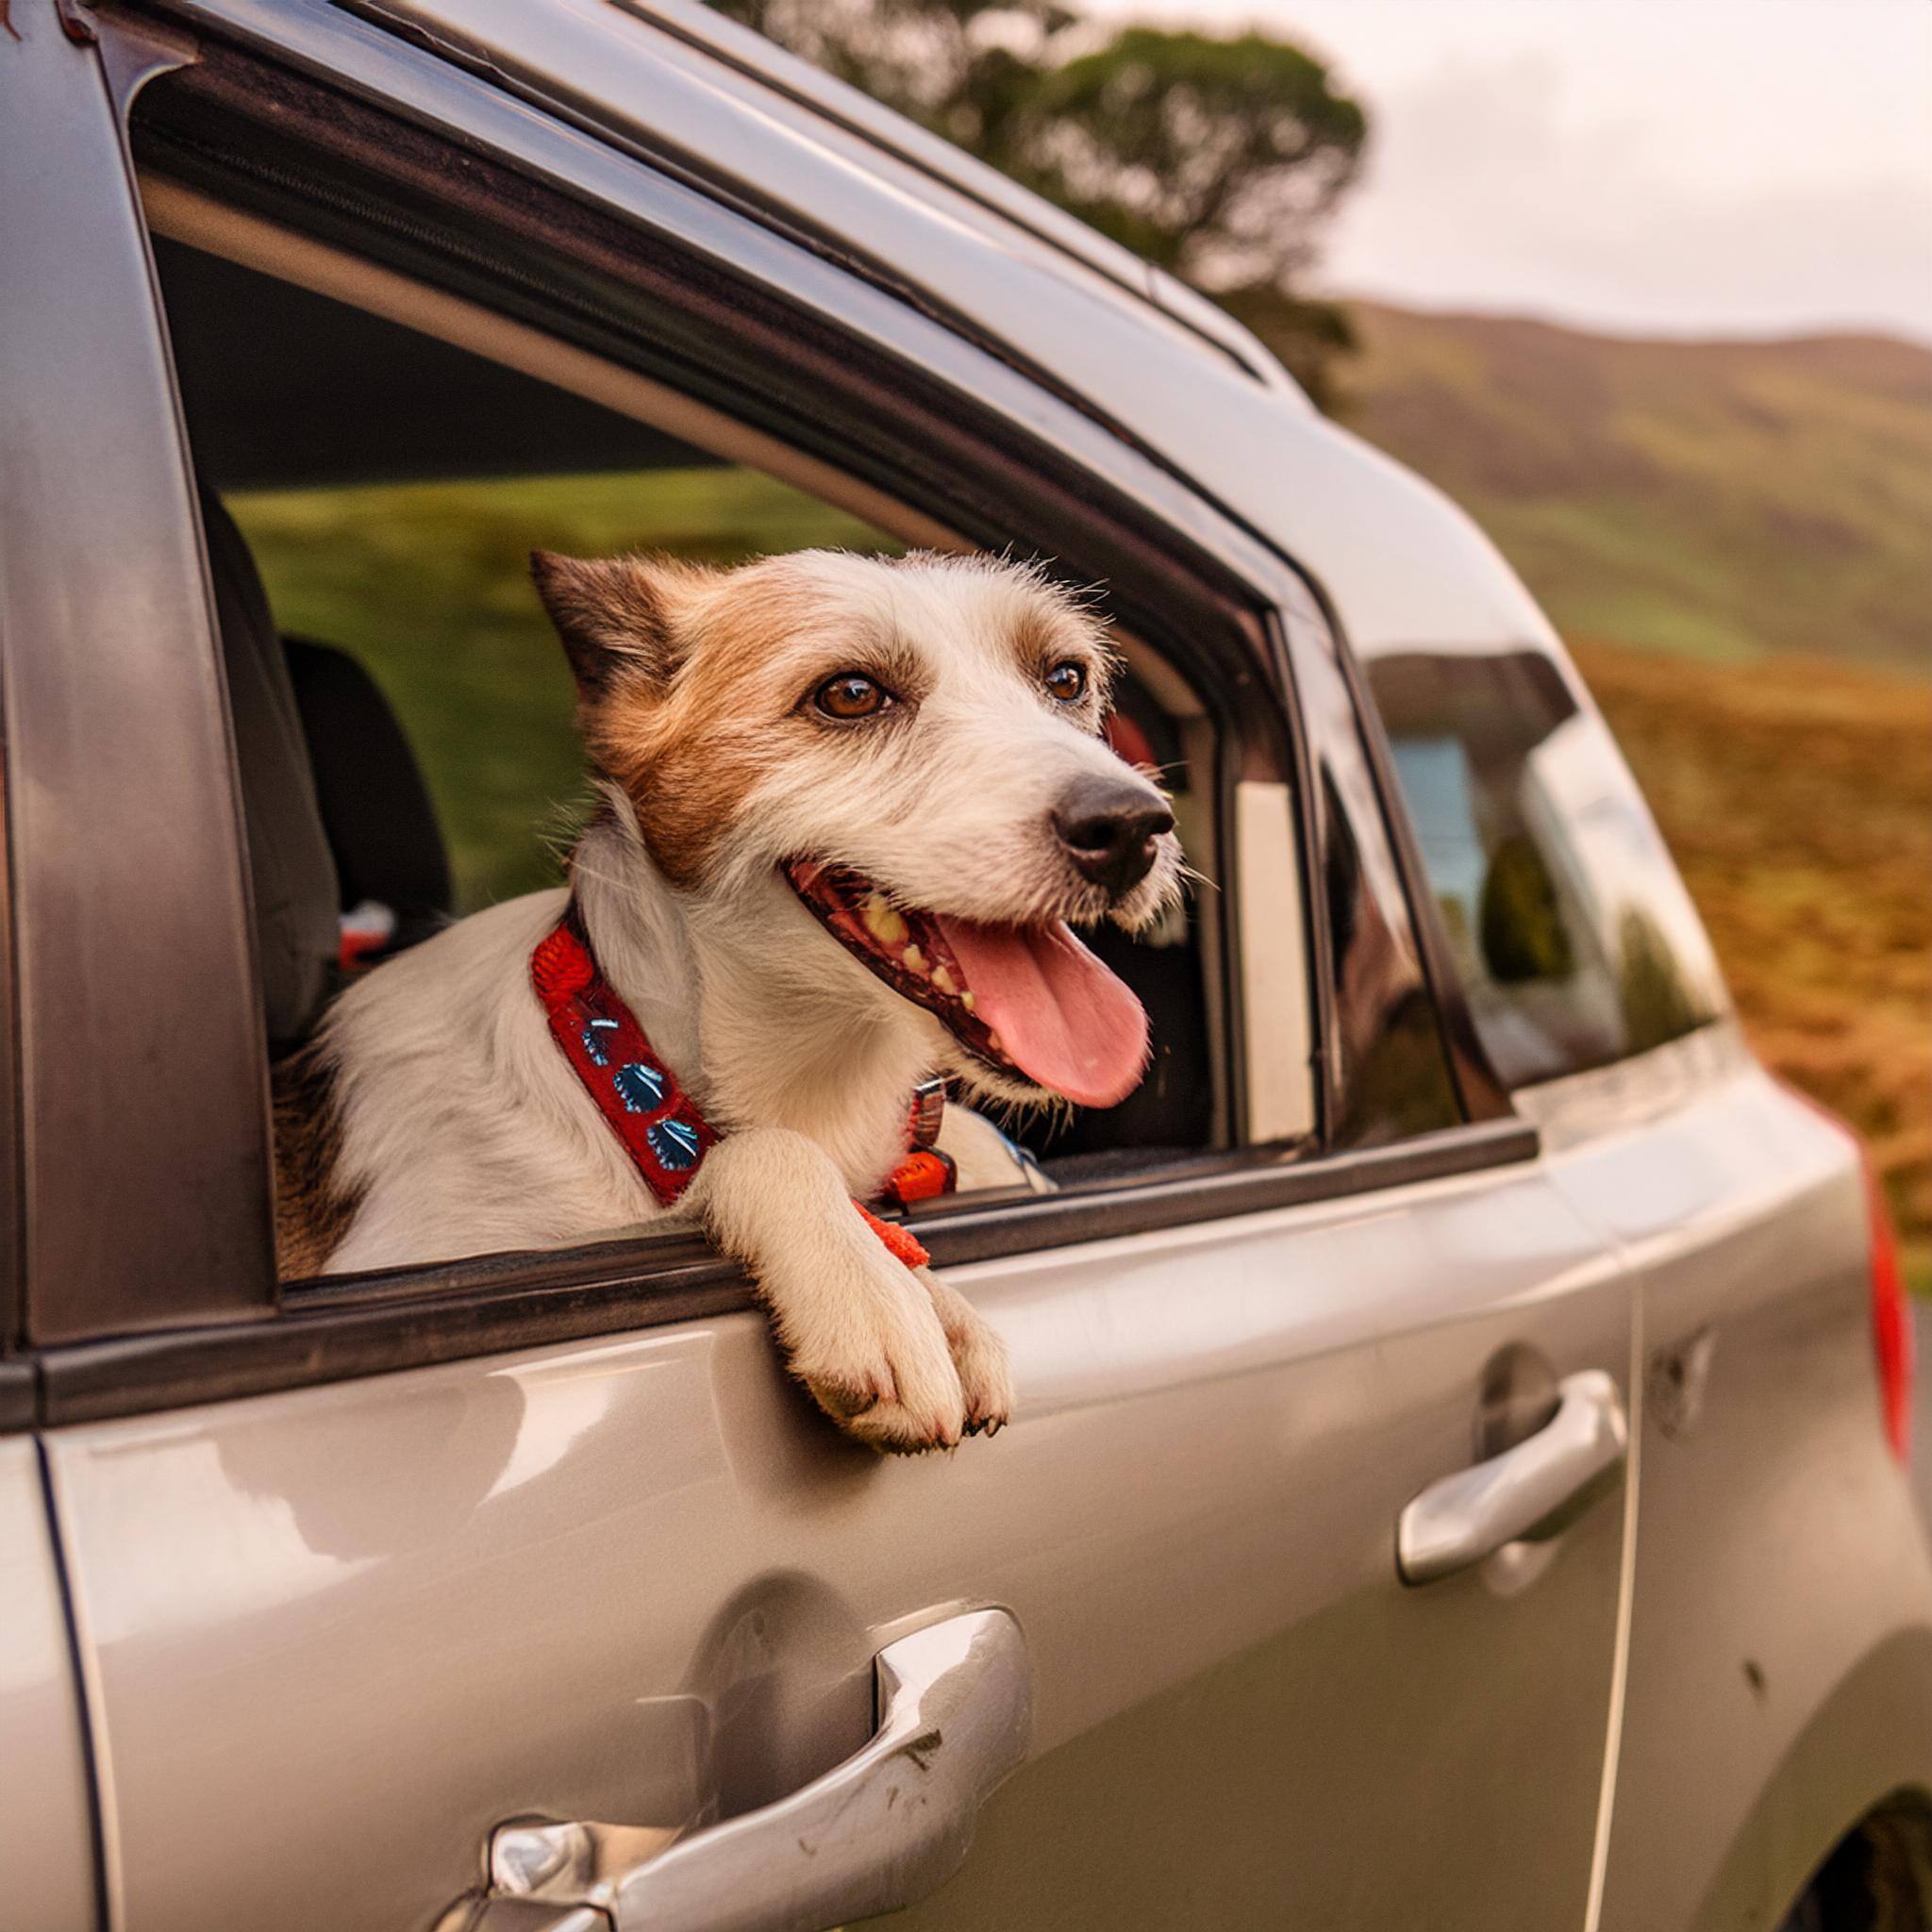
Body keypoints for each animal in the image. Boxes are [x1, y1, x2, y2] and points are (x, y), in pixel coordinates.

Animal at [270, 544, 1174, 1453]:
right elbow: (764, 1155)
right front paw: (882, 1288)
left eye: (1065, 678)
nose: (1132, 826)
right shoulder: (434, 1256)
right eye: (851, 694)